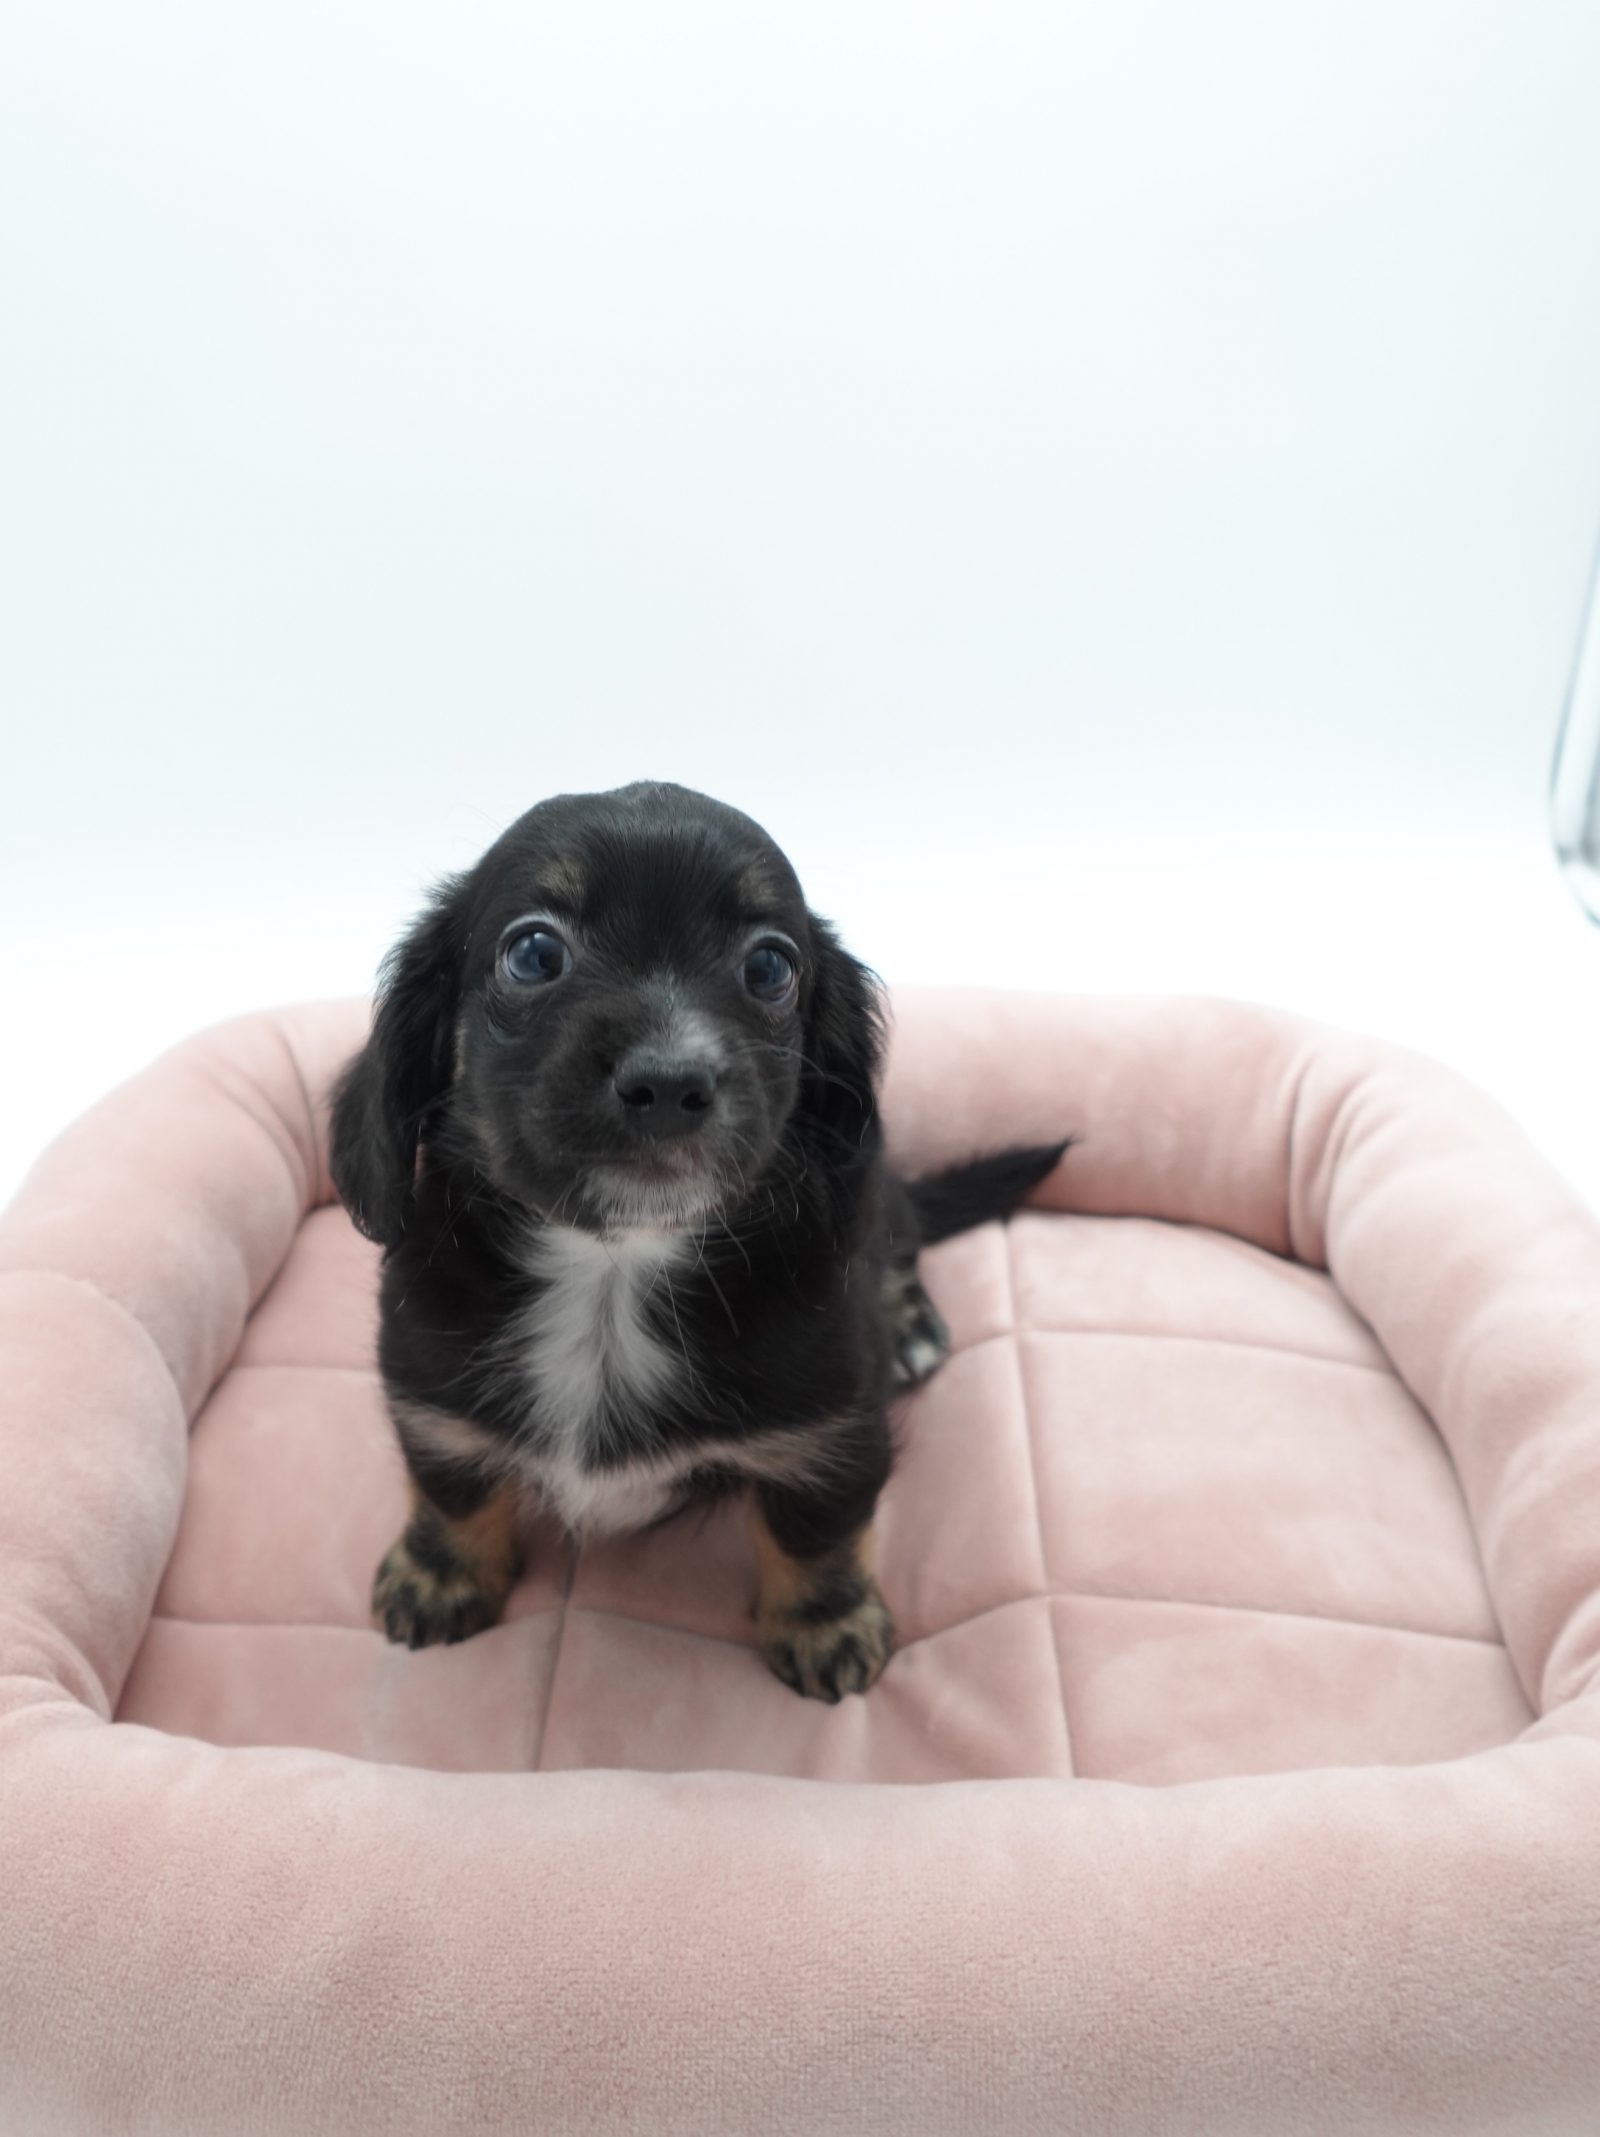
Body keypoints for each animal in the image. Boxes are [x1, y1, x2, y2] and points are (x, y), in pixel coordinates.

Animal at [330, 782, 1066, 1701]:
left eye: (770, 968)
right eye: (533, 951)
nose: (670, 1082)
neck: (611, 1273)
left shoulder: (834, 1425)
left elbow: (818, 1529)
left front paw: (825, 1624)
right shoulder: (428, 1393)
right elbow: (450, 1487)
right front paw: (438, 1575)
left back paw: (908, 1324)